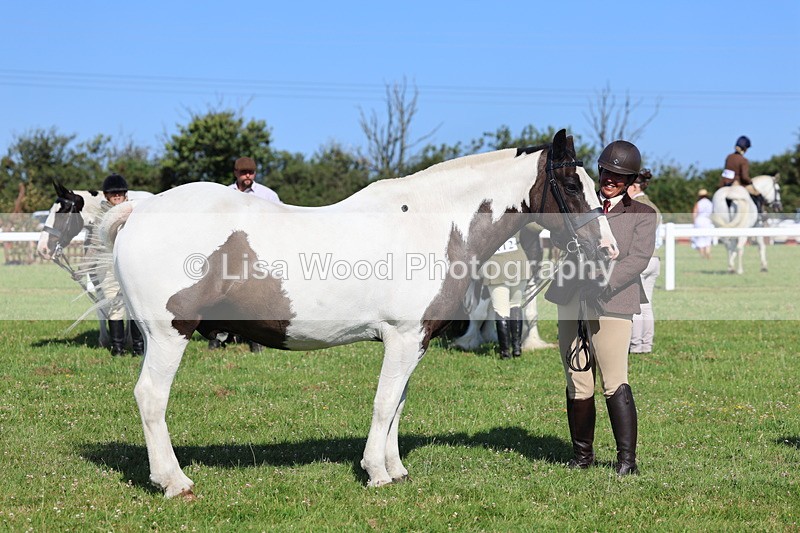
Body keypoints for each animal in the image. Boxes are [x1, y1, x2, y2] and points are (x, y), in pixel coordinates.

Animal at [38, 181, 153, 346]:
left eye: (64, 212)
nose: (42, 249)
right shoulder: (96, 277)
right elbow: (101, 305)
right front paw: (104, 340)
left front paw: (130, 339)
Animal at [66, 130, 617, 498]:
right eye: (572, 185)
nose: (608, 249)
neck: (435, 221)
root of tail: (140, 211)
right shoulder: (401, 337)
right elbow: (383, 403)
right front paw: (376, 472)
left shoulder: (413, 341)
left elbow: (397, 405)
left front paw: (395, 469)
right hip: (168, 334)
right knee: (151, 398)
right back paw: (173, 481)